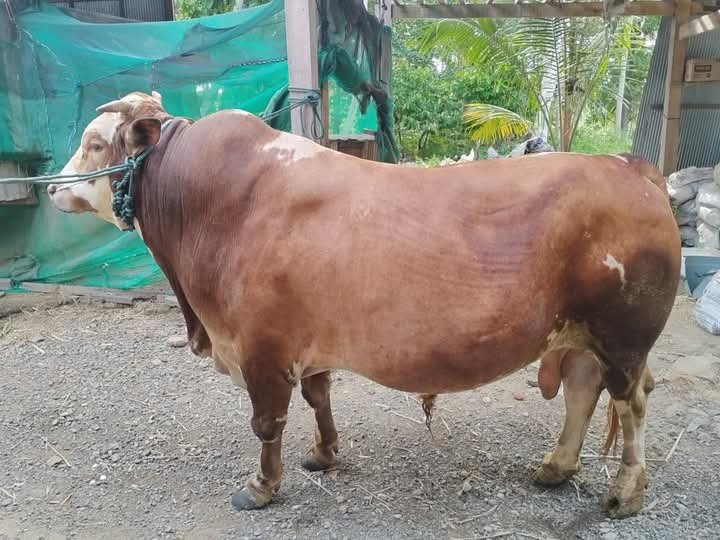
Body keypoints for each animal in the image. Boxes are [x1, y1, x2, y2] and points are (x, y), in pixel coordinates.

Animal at [48, 91, 680, 518]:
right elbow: (319, 398)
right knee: (582, 390)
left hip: (625, 339)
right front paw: (324, 454)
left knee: (631, 404)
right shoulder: (304, 343)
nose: (51, 187)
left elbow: (266, 423)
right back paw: (556, 467)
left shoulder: (259, 349)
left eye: (96, 143)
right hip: (583, 336)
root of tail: (627, 165)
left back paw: (625, 492)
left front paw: (261, 487)